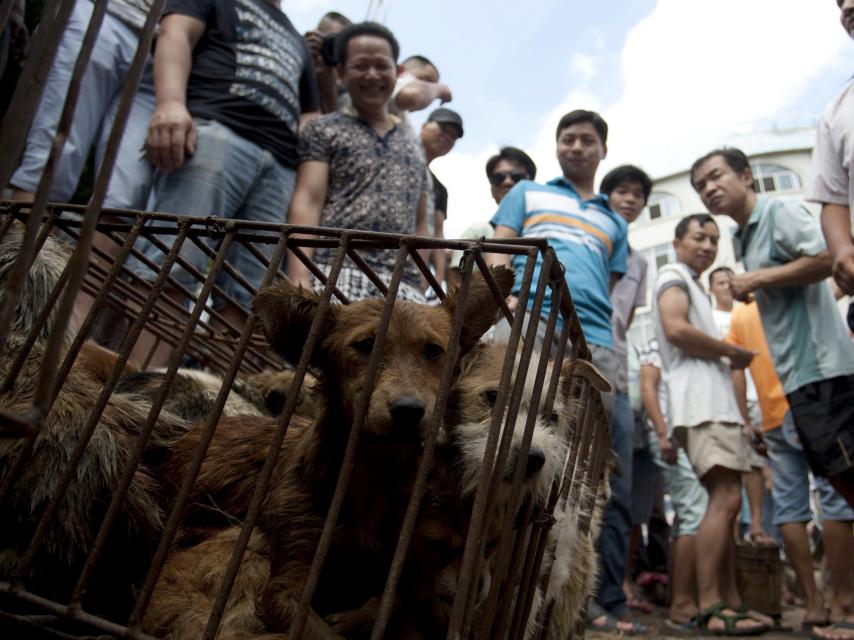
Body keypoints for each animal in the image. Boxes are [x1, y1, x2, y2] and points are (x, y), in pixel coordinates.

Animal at [149, 268, 516, 636]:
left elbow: (392, 603)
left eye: (434, 351)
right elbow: (321, 630)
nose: (408, 410)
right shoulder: (288, 583)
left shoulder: (401, 562)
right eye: (366, 345)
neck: (374, 473)